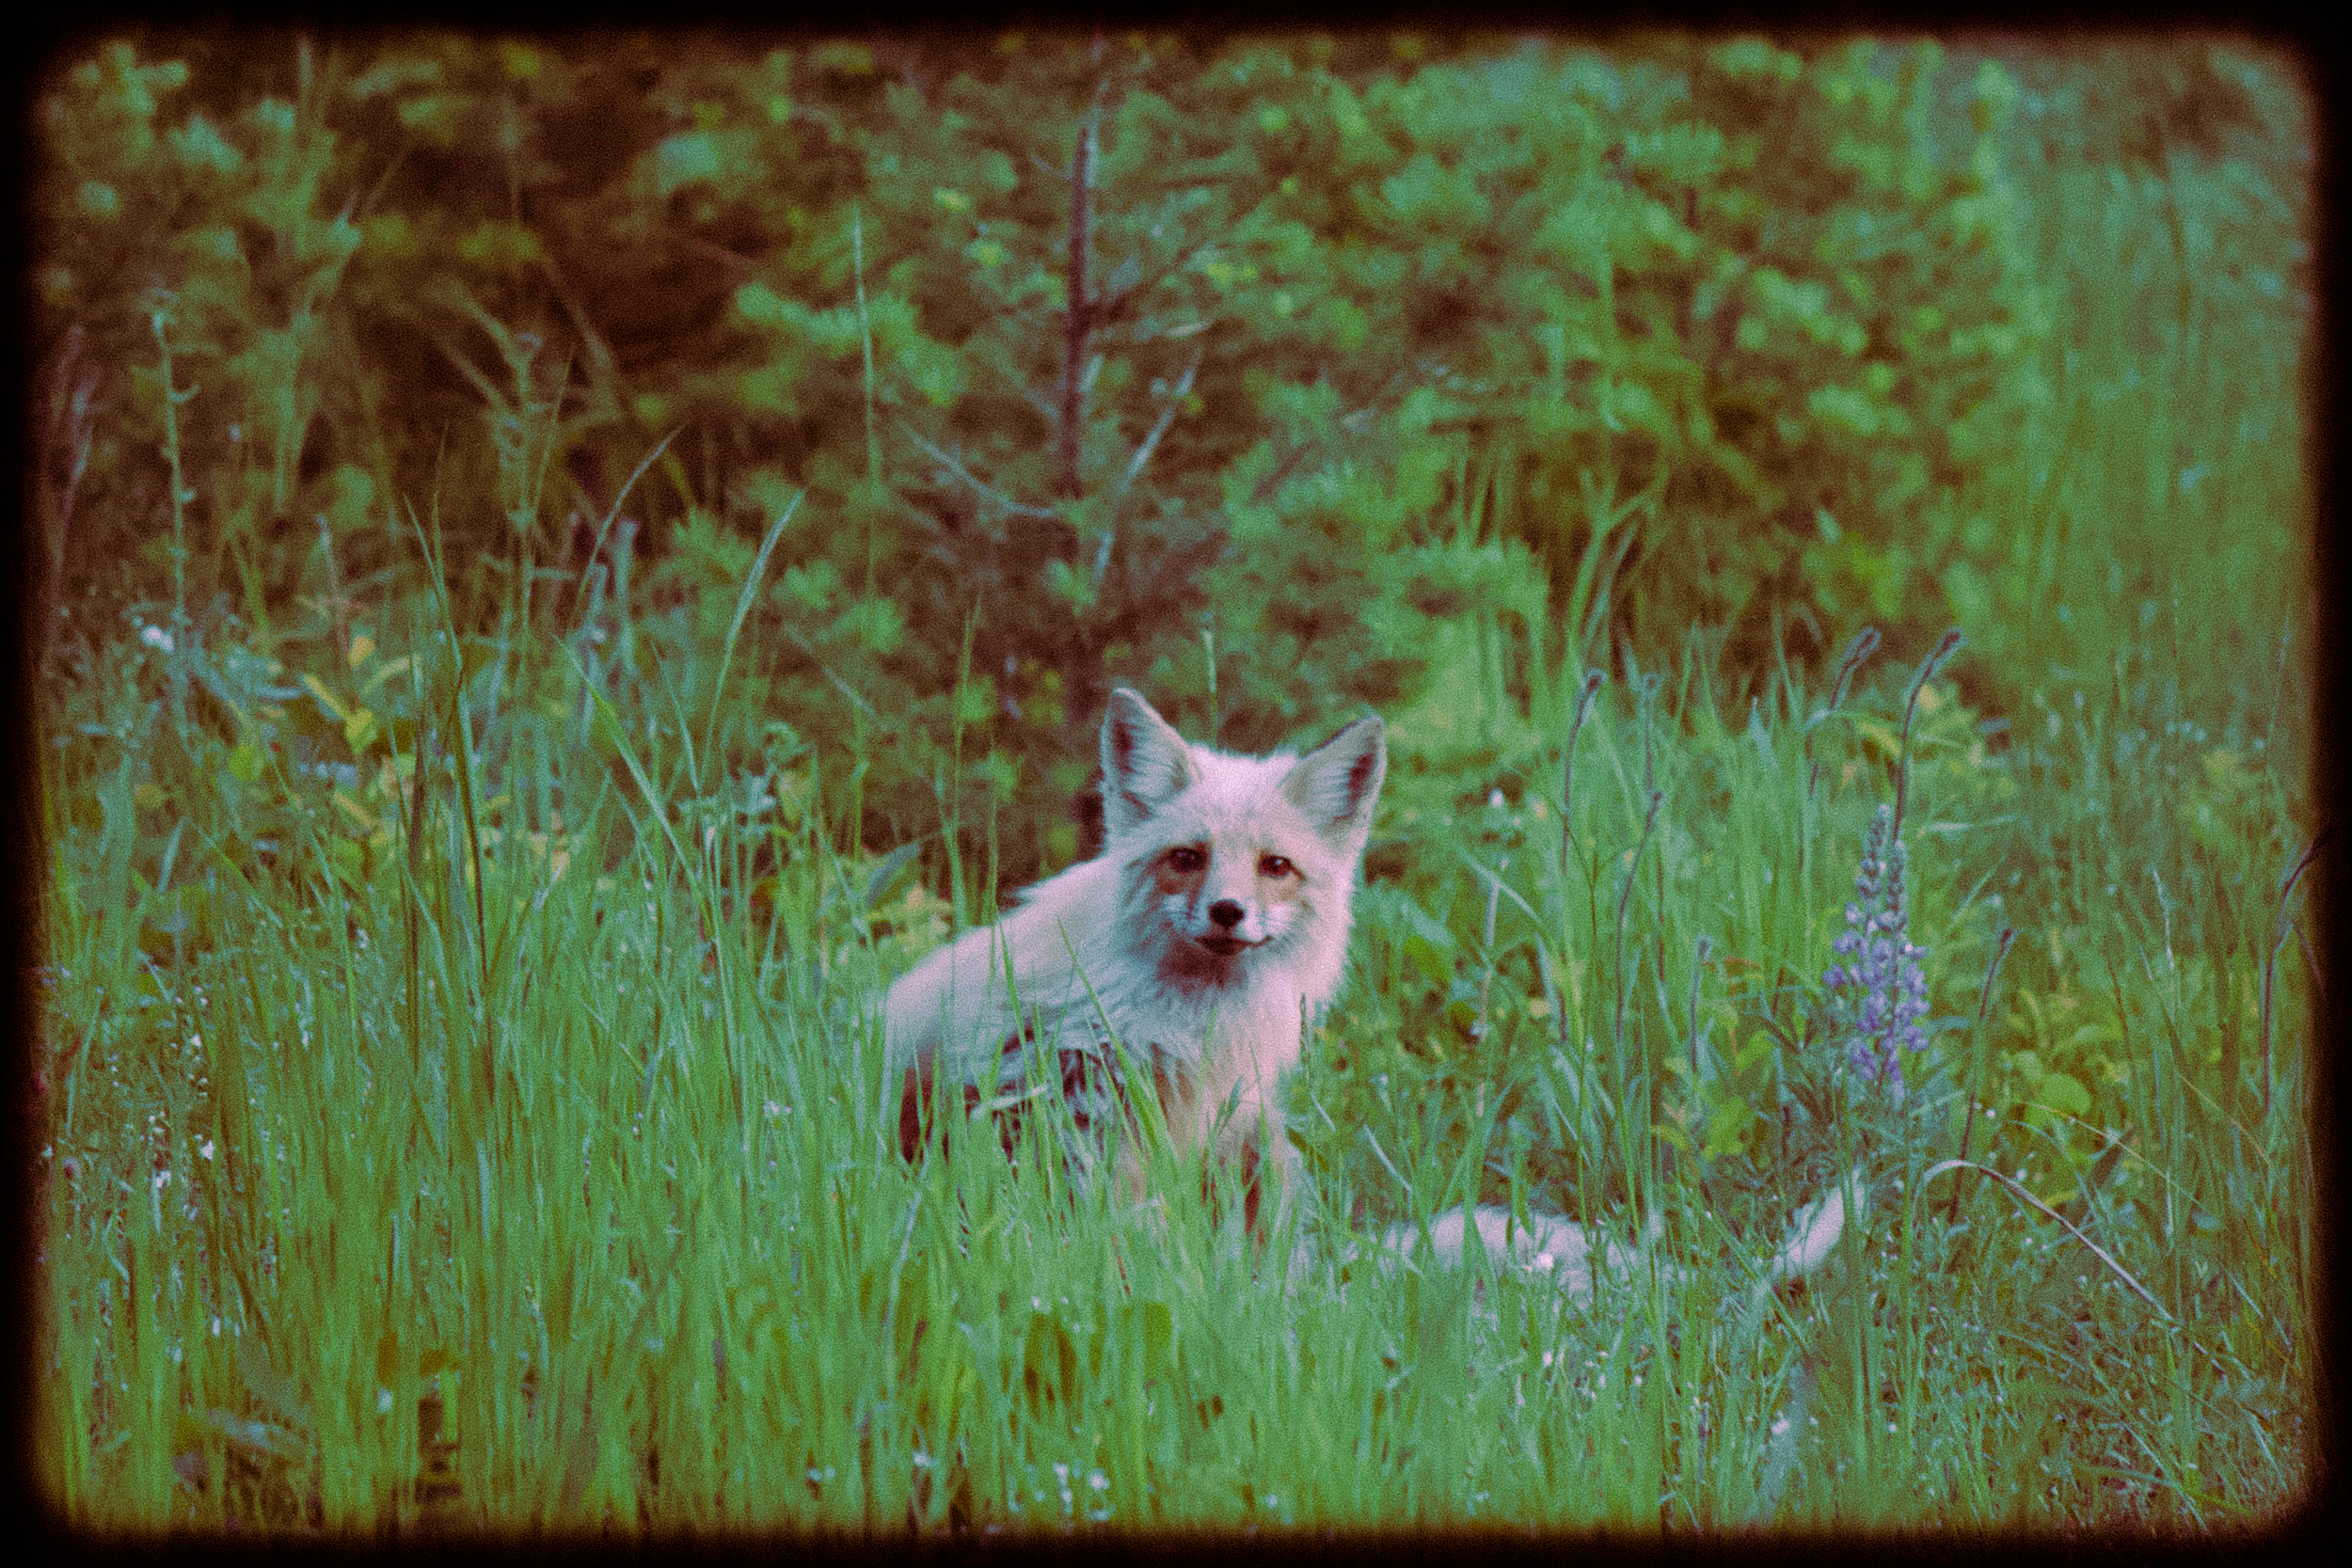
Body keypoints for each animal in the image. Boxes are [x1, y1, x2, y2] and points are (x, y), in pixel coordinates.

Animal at [883, 688, 1860, 1305]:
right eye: (1187, 857)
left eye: (1275, 865)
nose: (1229, 912)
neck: (1177, 1017)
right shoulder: (1044, 1092)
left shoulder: (1209, 1115)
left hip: (1265, 1149)